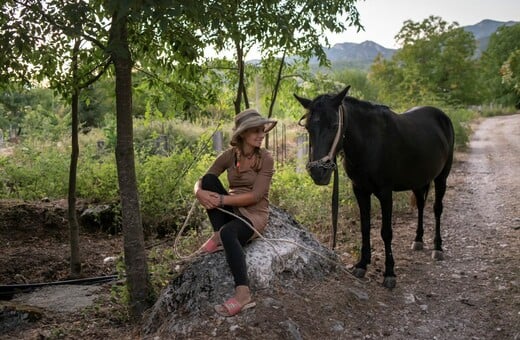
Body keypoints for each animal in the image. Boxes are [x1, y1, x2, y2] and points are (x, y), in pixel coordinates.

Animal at [294, 86, 452, 288]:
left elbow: (386, 232)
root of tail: (442, 116)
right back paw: (418, 240)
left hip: (441, 178)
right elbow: (365, 227)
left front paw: (389, 273)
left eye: (334, 125)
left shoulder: (385, 193)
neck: (369, 143)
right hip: (419, 180)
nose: (318, 172)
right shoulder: (360, 191)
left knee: (437, 209)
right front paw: (362, 264)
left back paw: (438, 248)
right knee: (421, 206)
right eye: (308, 127)